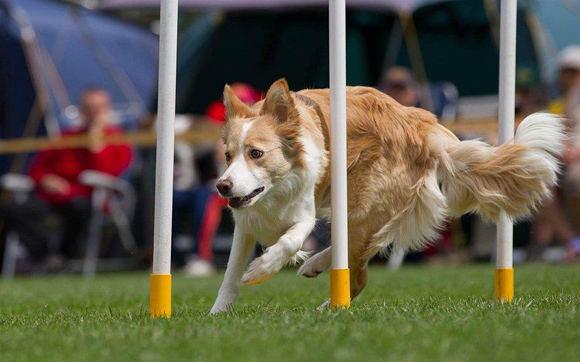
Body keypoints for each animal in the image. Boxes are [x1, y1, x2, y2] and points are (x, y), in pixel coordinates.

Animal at [211, 79, 564, 314]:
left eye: (256, 153)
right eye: (227, 155)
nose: (222, 187)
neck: (273, 191)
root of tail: (423, 123)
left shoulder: (305, 211)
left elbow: (290, 240)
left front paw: (262, 268)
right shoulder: (246, 222)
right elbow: (230, 273)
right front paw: (219, 314)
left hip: (360, 203)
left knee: (359, 274)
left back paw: (329, 307)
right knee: (354, 253)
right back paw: (316, 266)